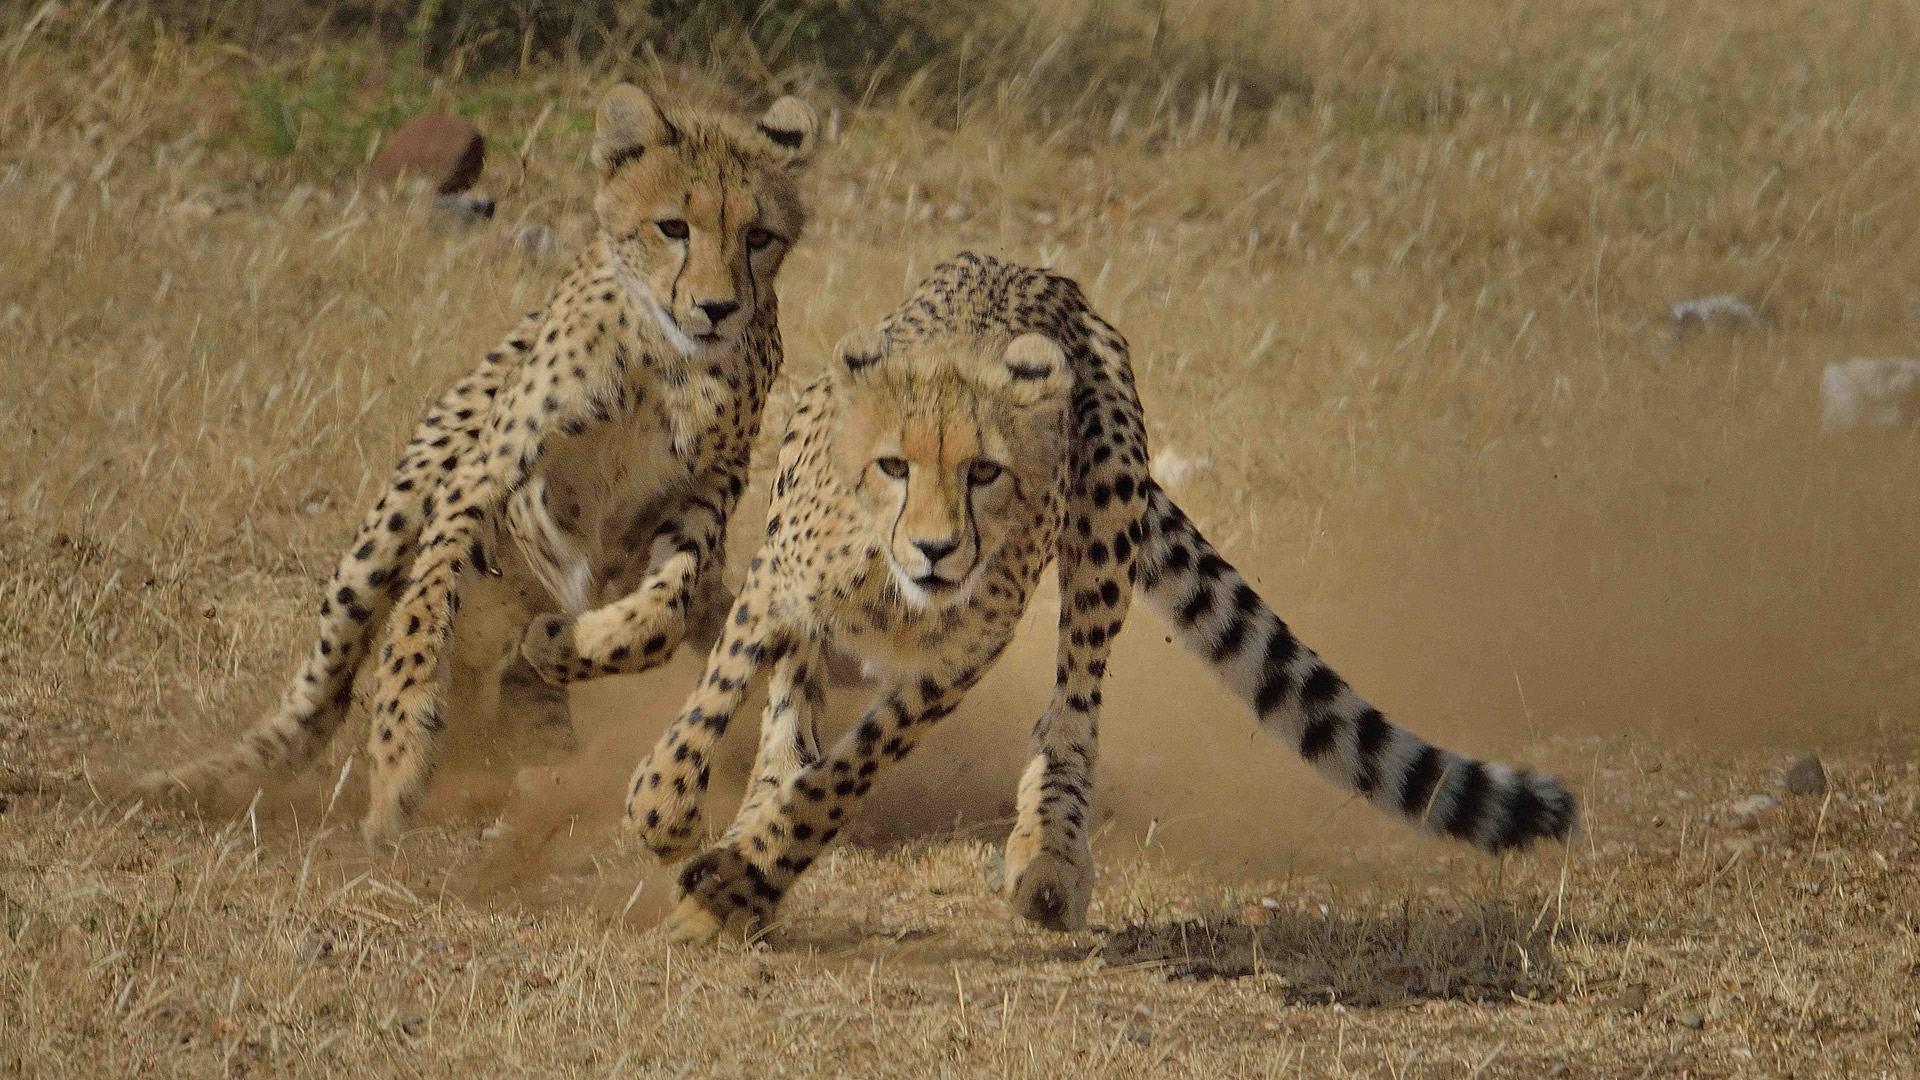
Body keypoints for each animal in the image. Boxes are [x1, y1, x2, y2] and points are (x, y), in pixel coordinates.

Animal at [137, 84, 820, 848]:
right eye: (673, 227)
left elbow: (659, 612)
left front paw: (570, 643)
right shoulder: (482, 478)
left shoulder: (708, 491)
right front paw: (402, 754)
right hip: (392, 525)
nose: (717, 308)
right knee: (321, 698)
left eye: (758, 237)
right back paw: (198, 780)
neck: (667, 363)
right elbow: (422, 615)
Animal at [617, 253, 1576, 944]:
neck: (891, 587)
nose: (936, 550)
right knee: (792, 703)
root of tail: (1036, 271)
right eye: (893, 465)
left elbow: (846, 774)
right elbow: (722, 693)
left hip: (1106, 513)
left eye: (985, 472)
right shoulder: (779, 584)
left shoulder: (956, 660)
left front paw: (746, 866)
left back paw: (1046, 857)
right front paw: (668, 810)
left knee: (1070, 712)